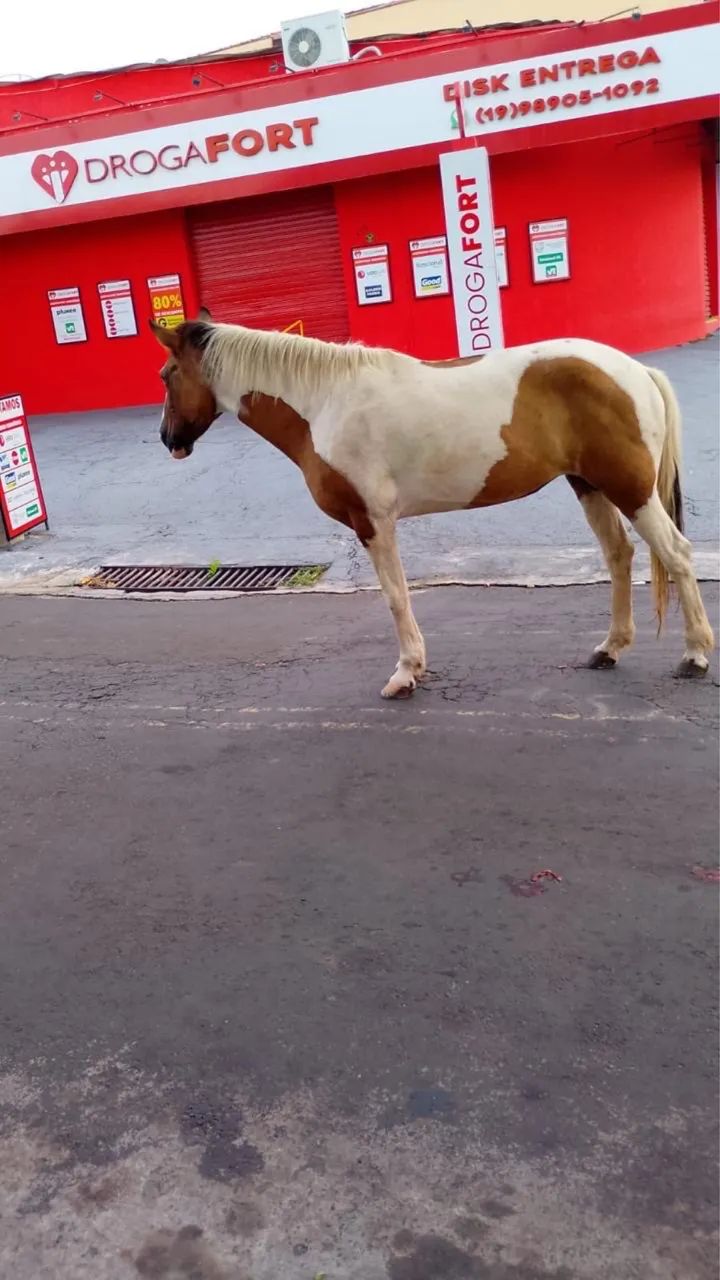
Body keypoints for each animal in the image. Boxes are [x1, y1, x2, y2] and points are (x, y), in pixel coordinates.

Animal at [151, 314, 714, 699]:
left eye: (166, 374)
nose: (168, 440)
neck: (323, 403)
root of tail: (636, 369)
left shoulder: (373, 522)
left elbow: (396, 597)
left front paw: (406, 673)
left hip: (630, 489)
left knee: (677, 554)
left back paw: (695, 654)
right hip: (589, 484)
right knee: (619, 555)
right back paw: (610, 649)